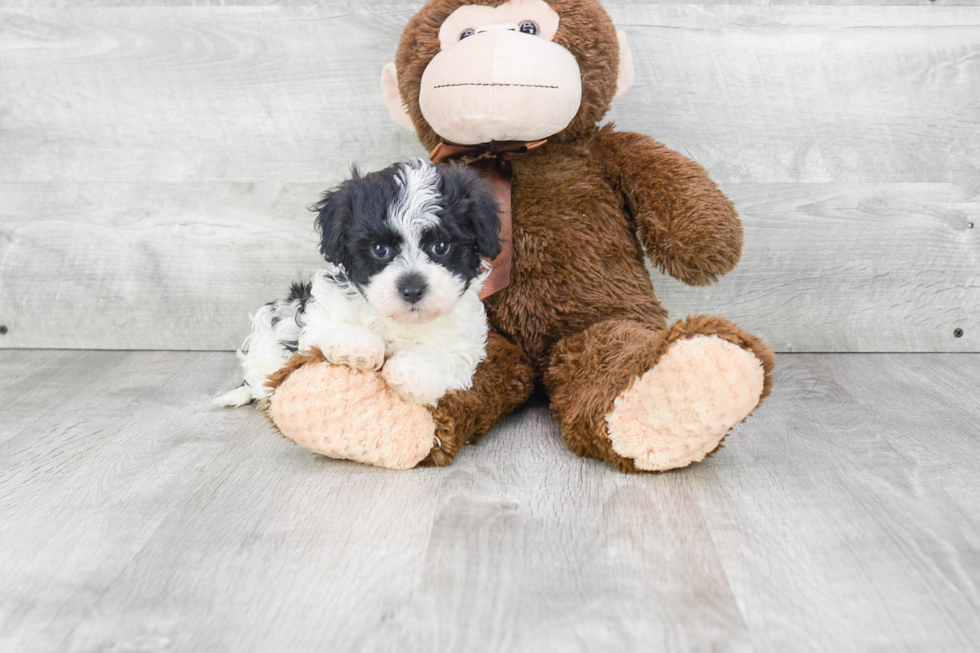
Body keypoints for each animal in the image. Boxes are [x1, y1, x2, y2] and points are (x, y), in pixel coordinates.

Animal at [217, 159, 502, 408]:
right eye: (379, 249)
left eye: (441, 247)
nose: (412, 290)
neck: (398, 321)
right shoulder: (319, 310)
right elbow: (326, 327)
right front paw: (357, 346)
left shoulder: (464, 342)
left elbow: (444, 355)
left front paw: (412, 373)